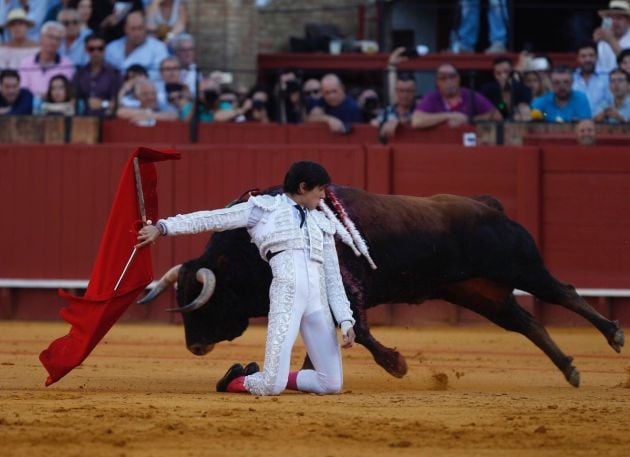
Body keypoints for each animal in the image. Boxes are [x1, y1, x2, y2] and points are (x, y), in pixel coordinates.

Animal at [144, 183, 628, 386]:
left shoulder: (346, 289)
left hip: (519, 267)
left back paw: (613, 335)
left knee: (562, 292)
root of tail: (489, 206)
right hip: (479, 292)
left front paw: (397, 364)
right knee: (526, 322)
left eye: (203, 300)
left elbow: (360, 330)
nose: (194, 347)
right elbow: (336, 335)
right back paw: (569, 368)